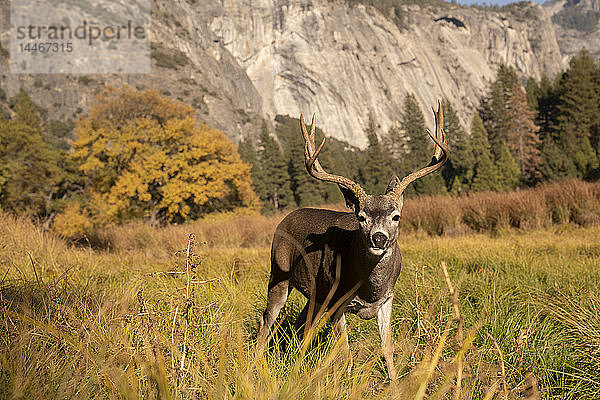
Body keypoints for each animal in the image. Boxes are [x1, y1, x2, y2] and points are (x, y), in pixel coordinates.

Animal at [255, 99, 448, 378]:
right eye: (361, 217)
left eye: (396, 216)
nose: (379, 238)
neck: (369, 288)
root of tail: (286, 217)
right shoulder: (338, 300)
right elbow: (345, 353)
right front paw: (347, 379)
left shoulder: (387, 299)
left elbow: (387, 347)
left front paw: (395, 381)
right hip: (278, 273)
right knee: (267, 319)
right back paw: (256, 363)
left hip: (316, 294)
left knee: (303, 325)